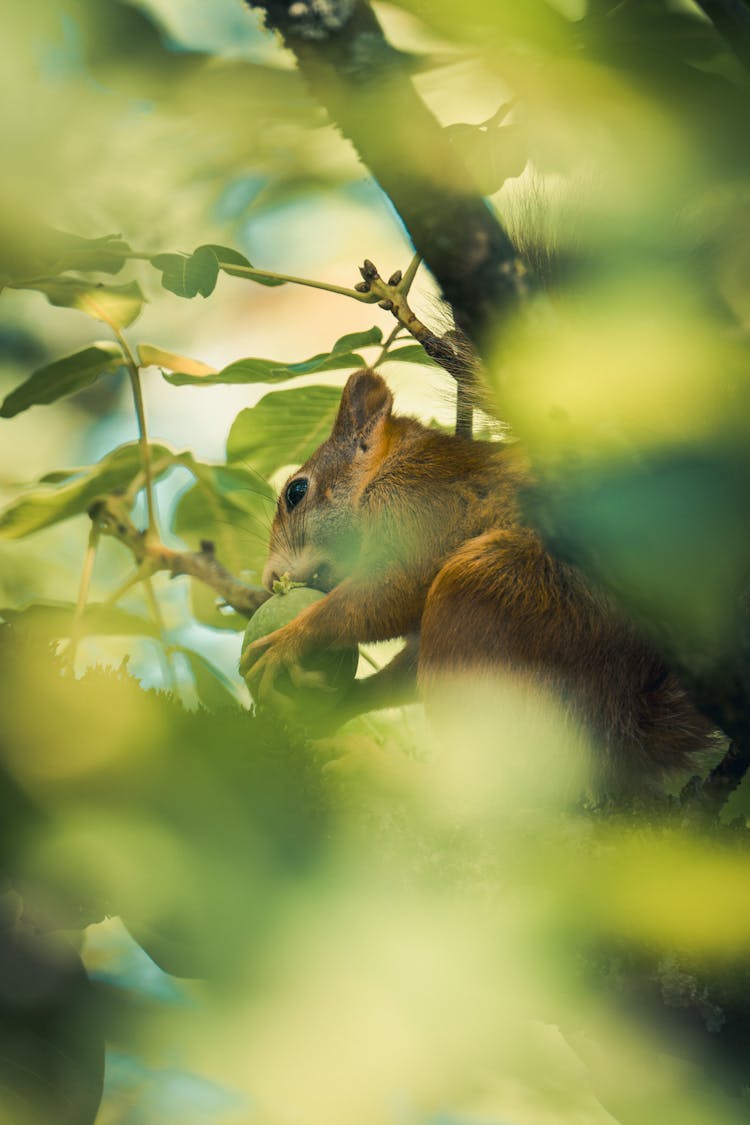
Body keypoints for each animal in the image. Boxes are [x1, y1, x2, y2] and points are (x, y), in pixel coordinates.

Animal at [244, 366, 719, 783]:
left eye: (296, 491)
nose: (269, 580)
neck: (387, 468)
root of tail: (624, 719)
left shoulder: (421, 512)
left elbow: (390, 593)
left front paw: (291, 640)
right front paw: (340, 705)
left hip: (493, 587)